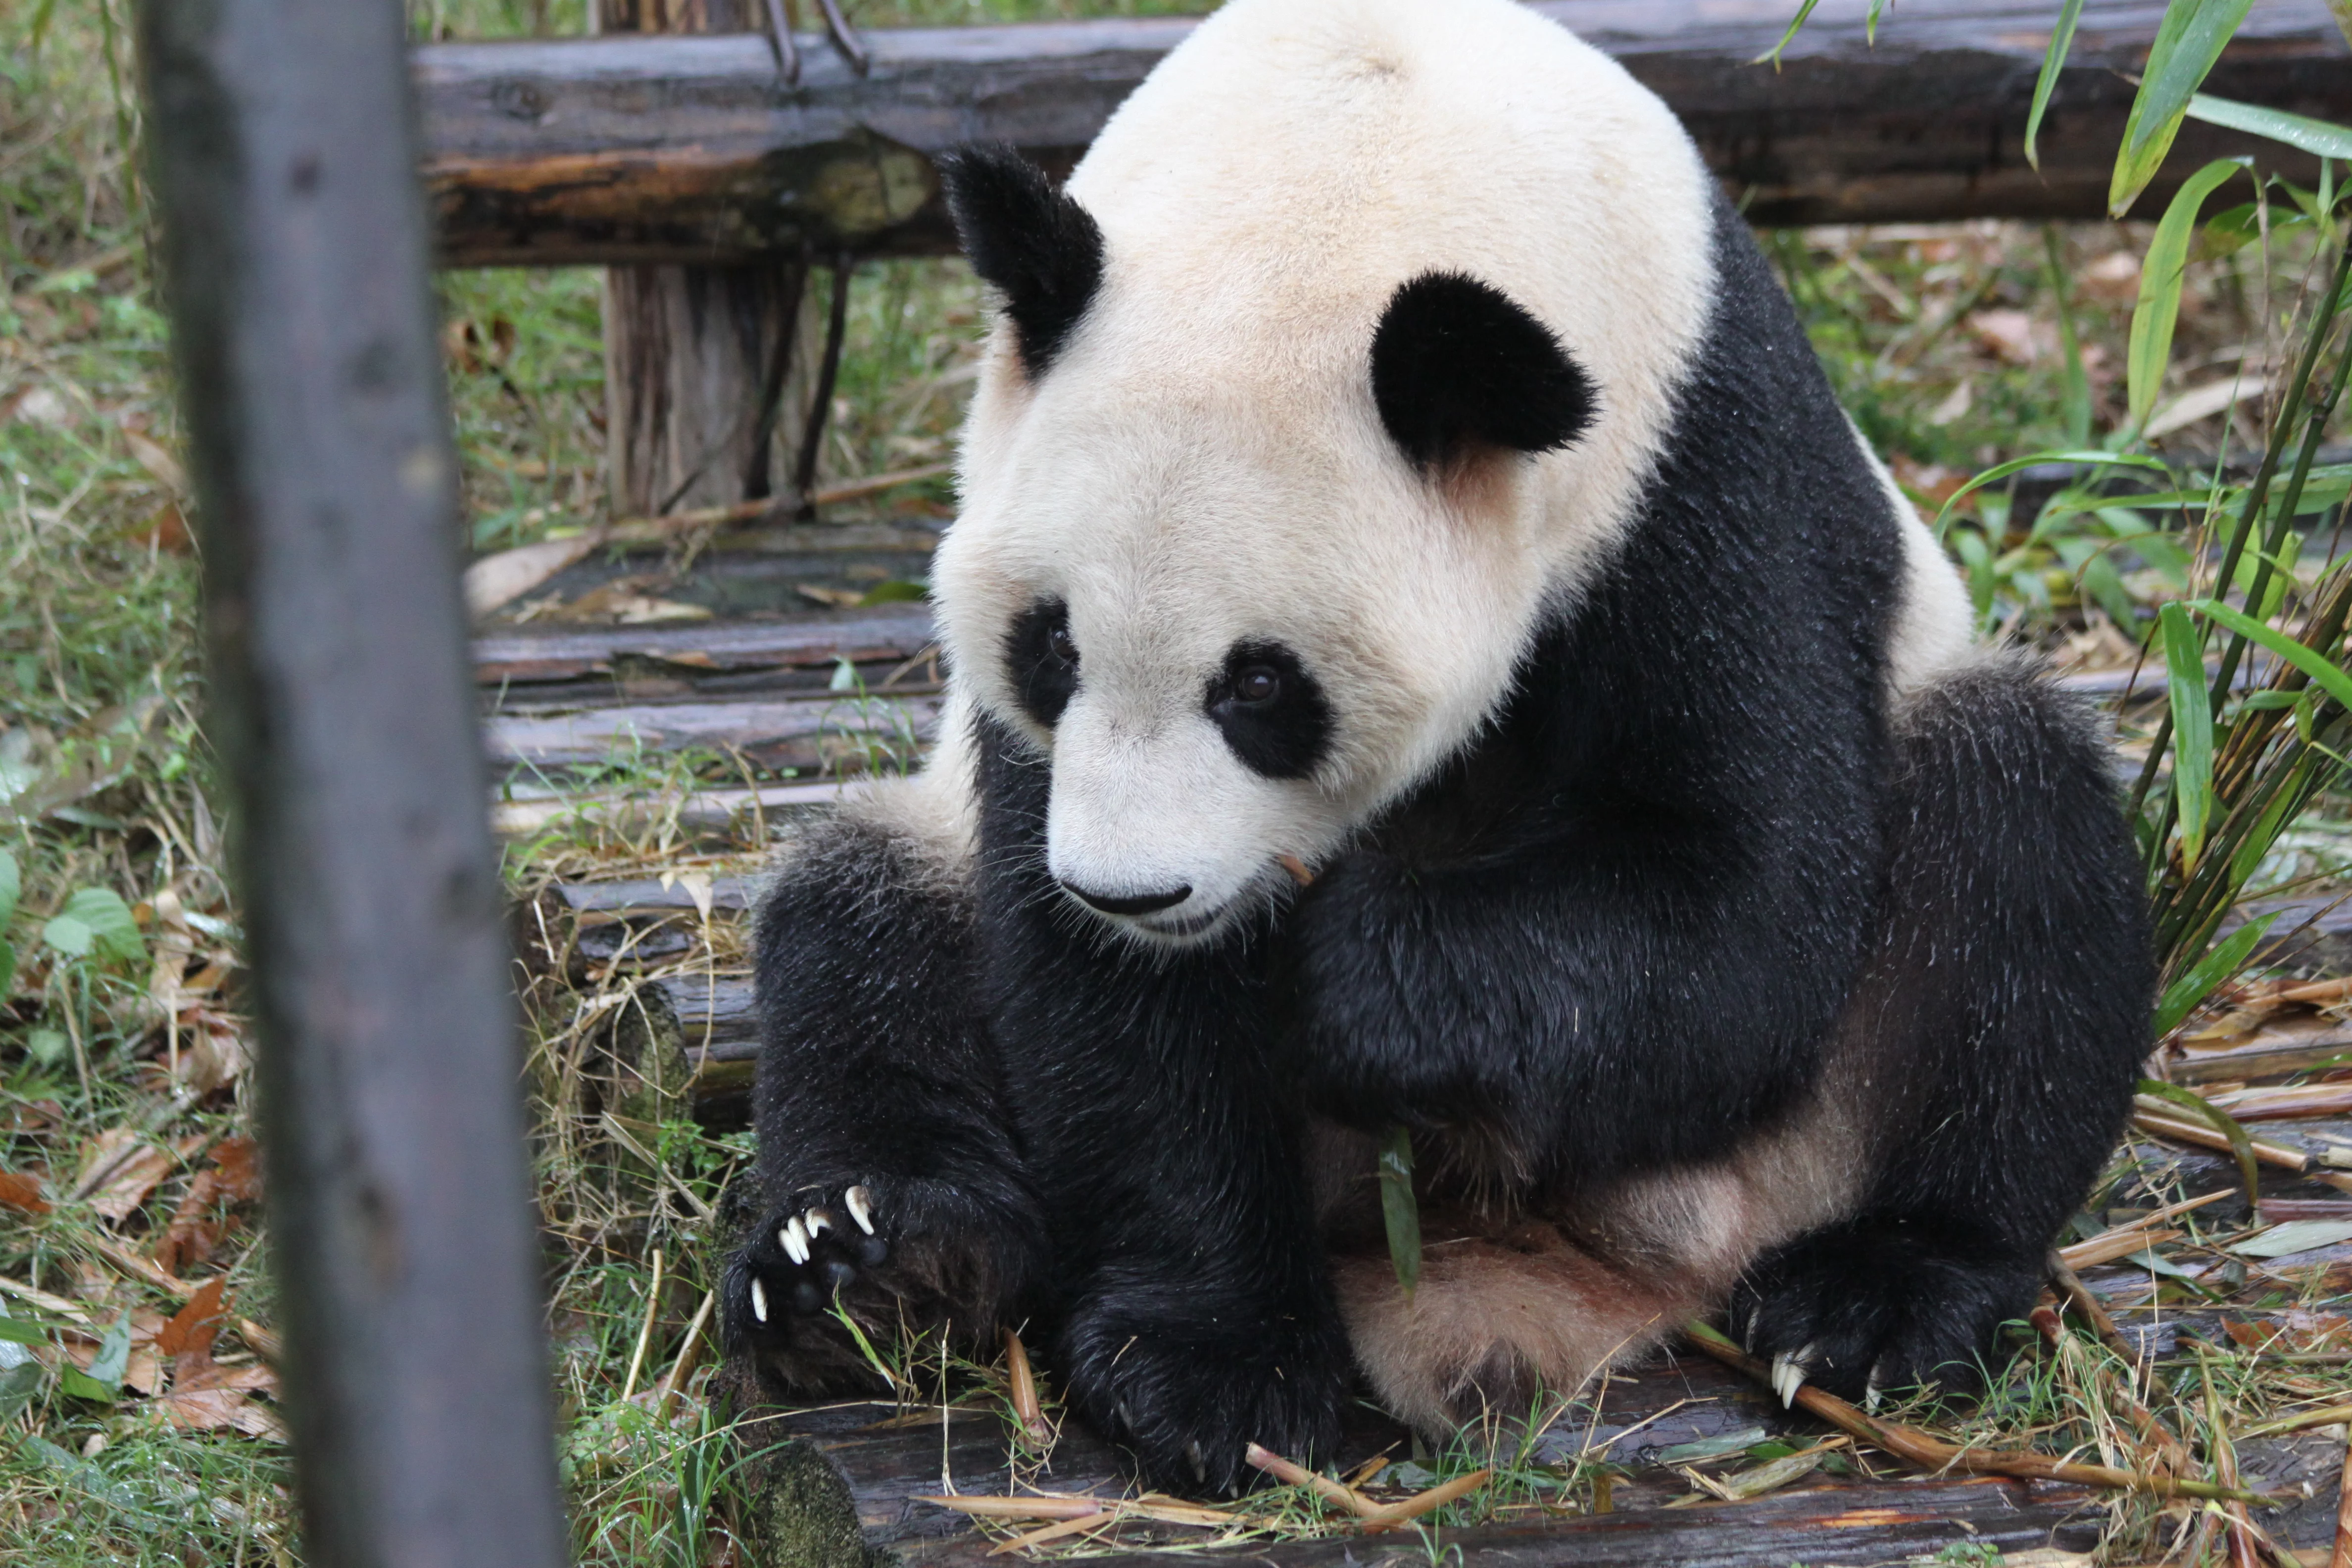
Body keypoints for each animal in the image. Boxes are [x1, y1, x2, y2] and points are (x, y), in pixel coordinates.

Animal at [721, 0, 2151, 1499]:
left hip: (1814, 1097)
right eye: (1050, 647)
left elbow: (1749, 902)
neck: (1360, 143)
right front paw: (1212, 1361)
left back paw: (1879, 1296)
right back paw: (873, 1268)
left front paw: (1344, 983)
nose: (1134, 893)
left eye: (1261, 685)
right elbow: (1105, 1015)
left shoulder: (1696, 462)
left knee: (2012, 849)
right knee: (859, 925)